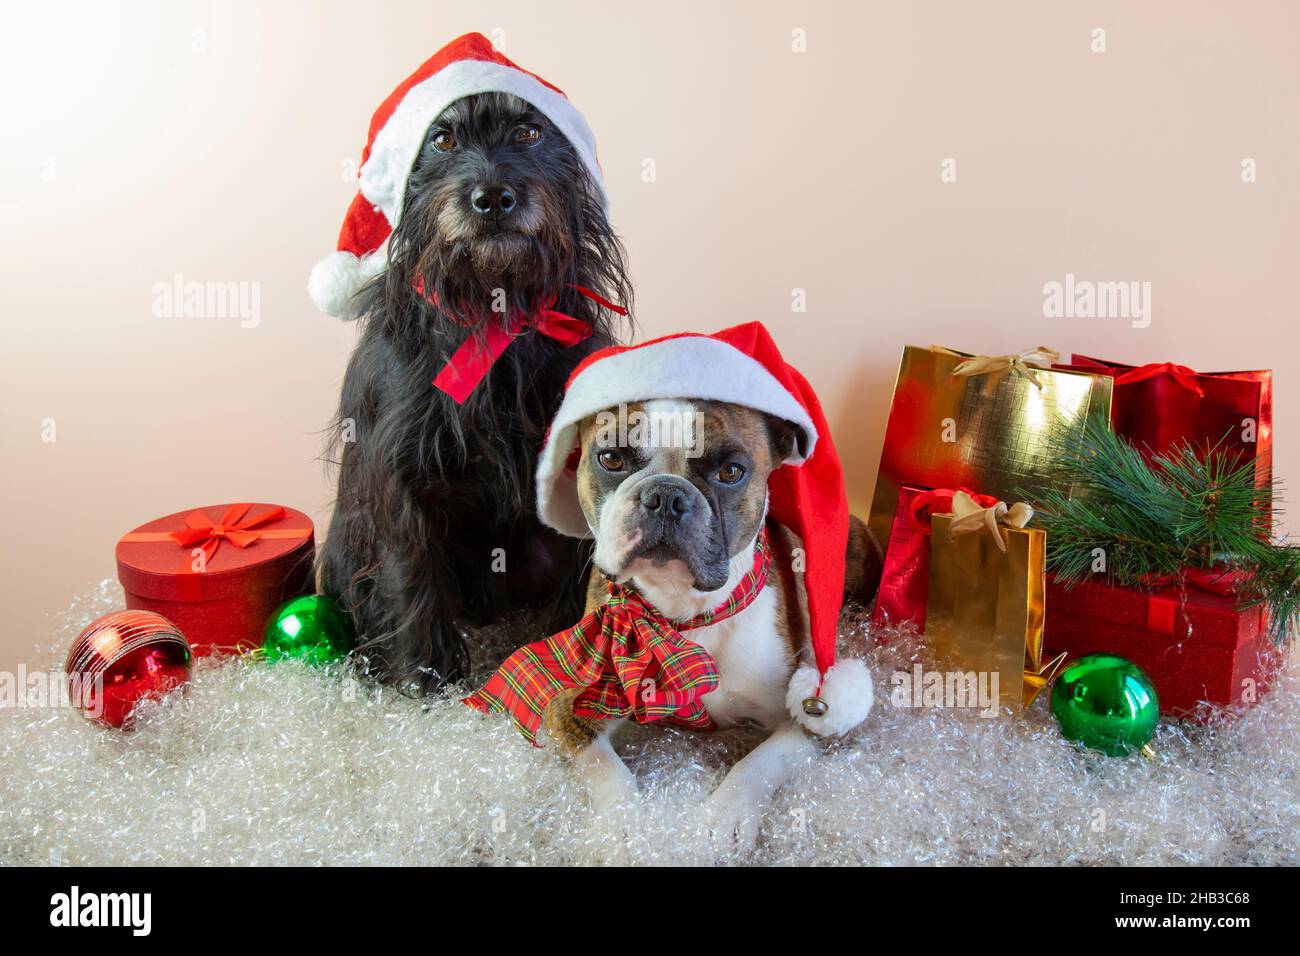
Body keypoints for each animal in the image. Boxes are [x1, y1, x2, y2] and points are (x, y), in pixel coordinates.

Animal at [319, 93, 634, 691]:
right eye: (441, 140)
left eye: (530, 131)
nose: (492, 200)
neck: (494, 305)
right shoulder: (400, 477)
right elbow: (411, 577)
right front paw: (429, 680)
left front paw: (566, 652)